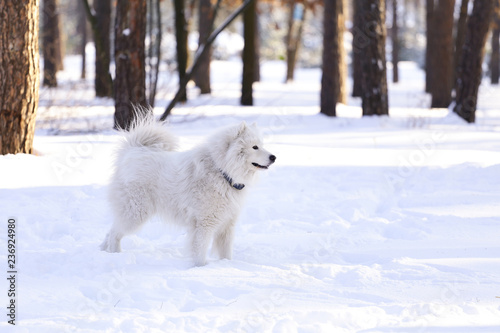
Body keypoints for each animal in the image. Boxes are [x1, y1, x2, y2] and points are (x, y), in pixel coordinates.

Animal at [99, 118, 276, 266]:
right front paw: (200, 268)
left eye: (262, 145)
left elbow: (226, 252)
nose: (274, 157)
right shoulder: (205, 224)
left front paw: (227, 265)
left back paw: (103, 250)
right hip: (135, 214)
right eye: (255, 147)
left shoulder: (227, 225)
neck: (222, 171)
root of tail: (131, 151)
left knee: (109, 231)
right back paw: (116, 254)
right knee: (114, 233)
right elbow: (200, 251)